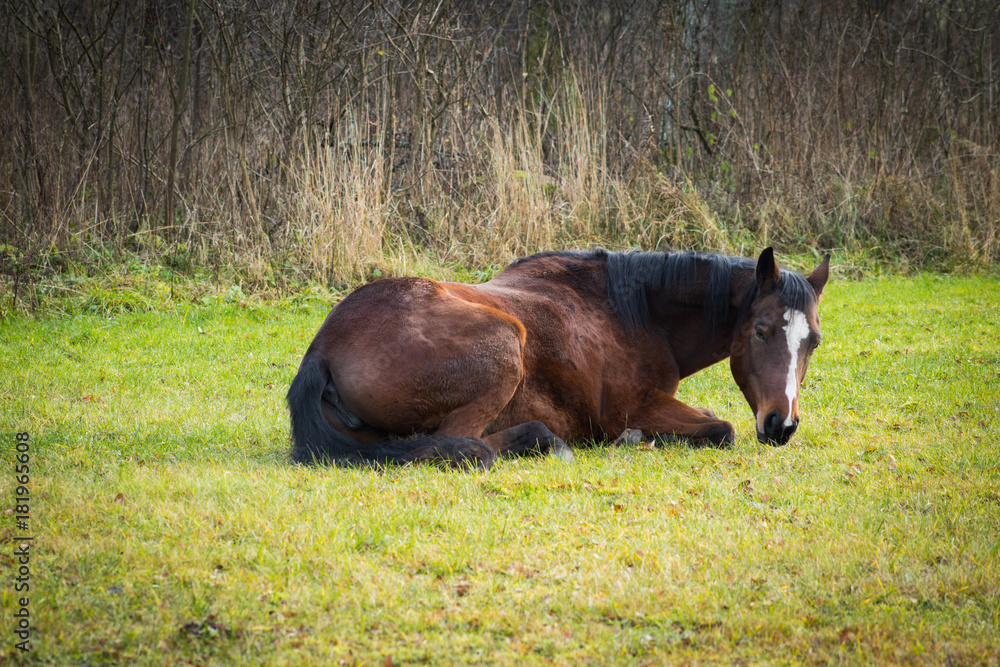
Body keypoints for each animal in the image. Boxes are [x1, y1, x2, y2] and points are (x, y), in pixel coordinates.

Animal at [287, 247, 830, 469]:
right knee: (464, 446)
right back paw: (543, 440)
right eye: (761, 331)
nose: (782, 424)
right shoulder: (632, 406)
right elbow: (722, 428)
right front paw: (634, 439)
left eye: (814, 342)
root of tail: (322, 349)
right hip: (506, 342)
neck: (633, 311)